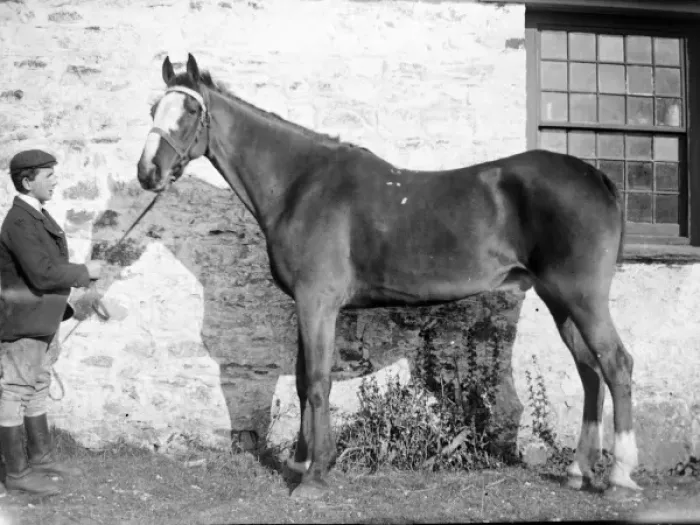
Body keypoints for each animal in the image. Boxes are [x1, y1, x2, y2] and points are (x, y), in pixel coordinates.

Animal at [137, 53, 640, 499]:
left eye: (189, 111)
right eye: (153, 108)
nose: (147, 172)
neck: (302, 185)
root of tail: (594, 176)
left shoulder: (317, 302)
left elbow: (316, 382)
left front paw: (314, 477)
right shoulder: (306, 304)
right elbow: (301, 381)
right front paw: (301, 461)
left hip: (582, 298)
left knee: (616, 365)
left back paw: (619, 476)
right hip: (560, 301)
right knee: (590, 370)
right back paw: (579, 471)